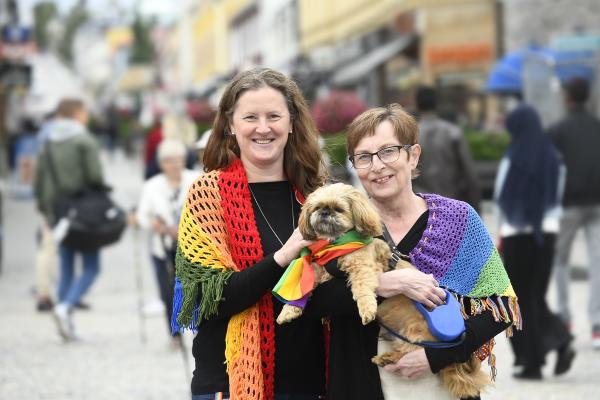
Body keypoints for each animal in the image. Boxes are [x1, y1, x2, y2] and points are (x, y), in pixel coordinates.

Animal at [275, 183, 391, 325]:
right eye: (317, 207)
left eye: (338, 209)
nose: (324, 212)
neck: (333, 244)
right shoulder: (315, 271)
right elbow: (300, 289)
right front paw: (289, 310)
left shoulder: (361, 267)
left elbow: (362, 288)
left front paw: (367, 309)